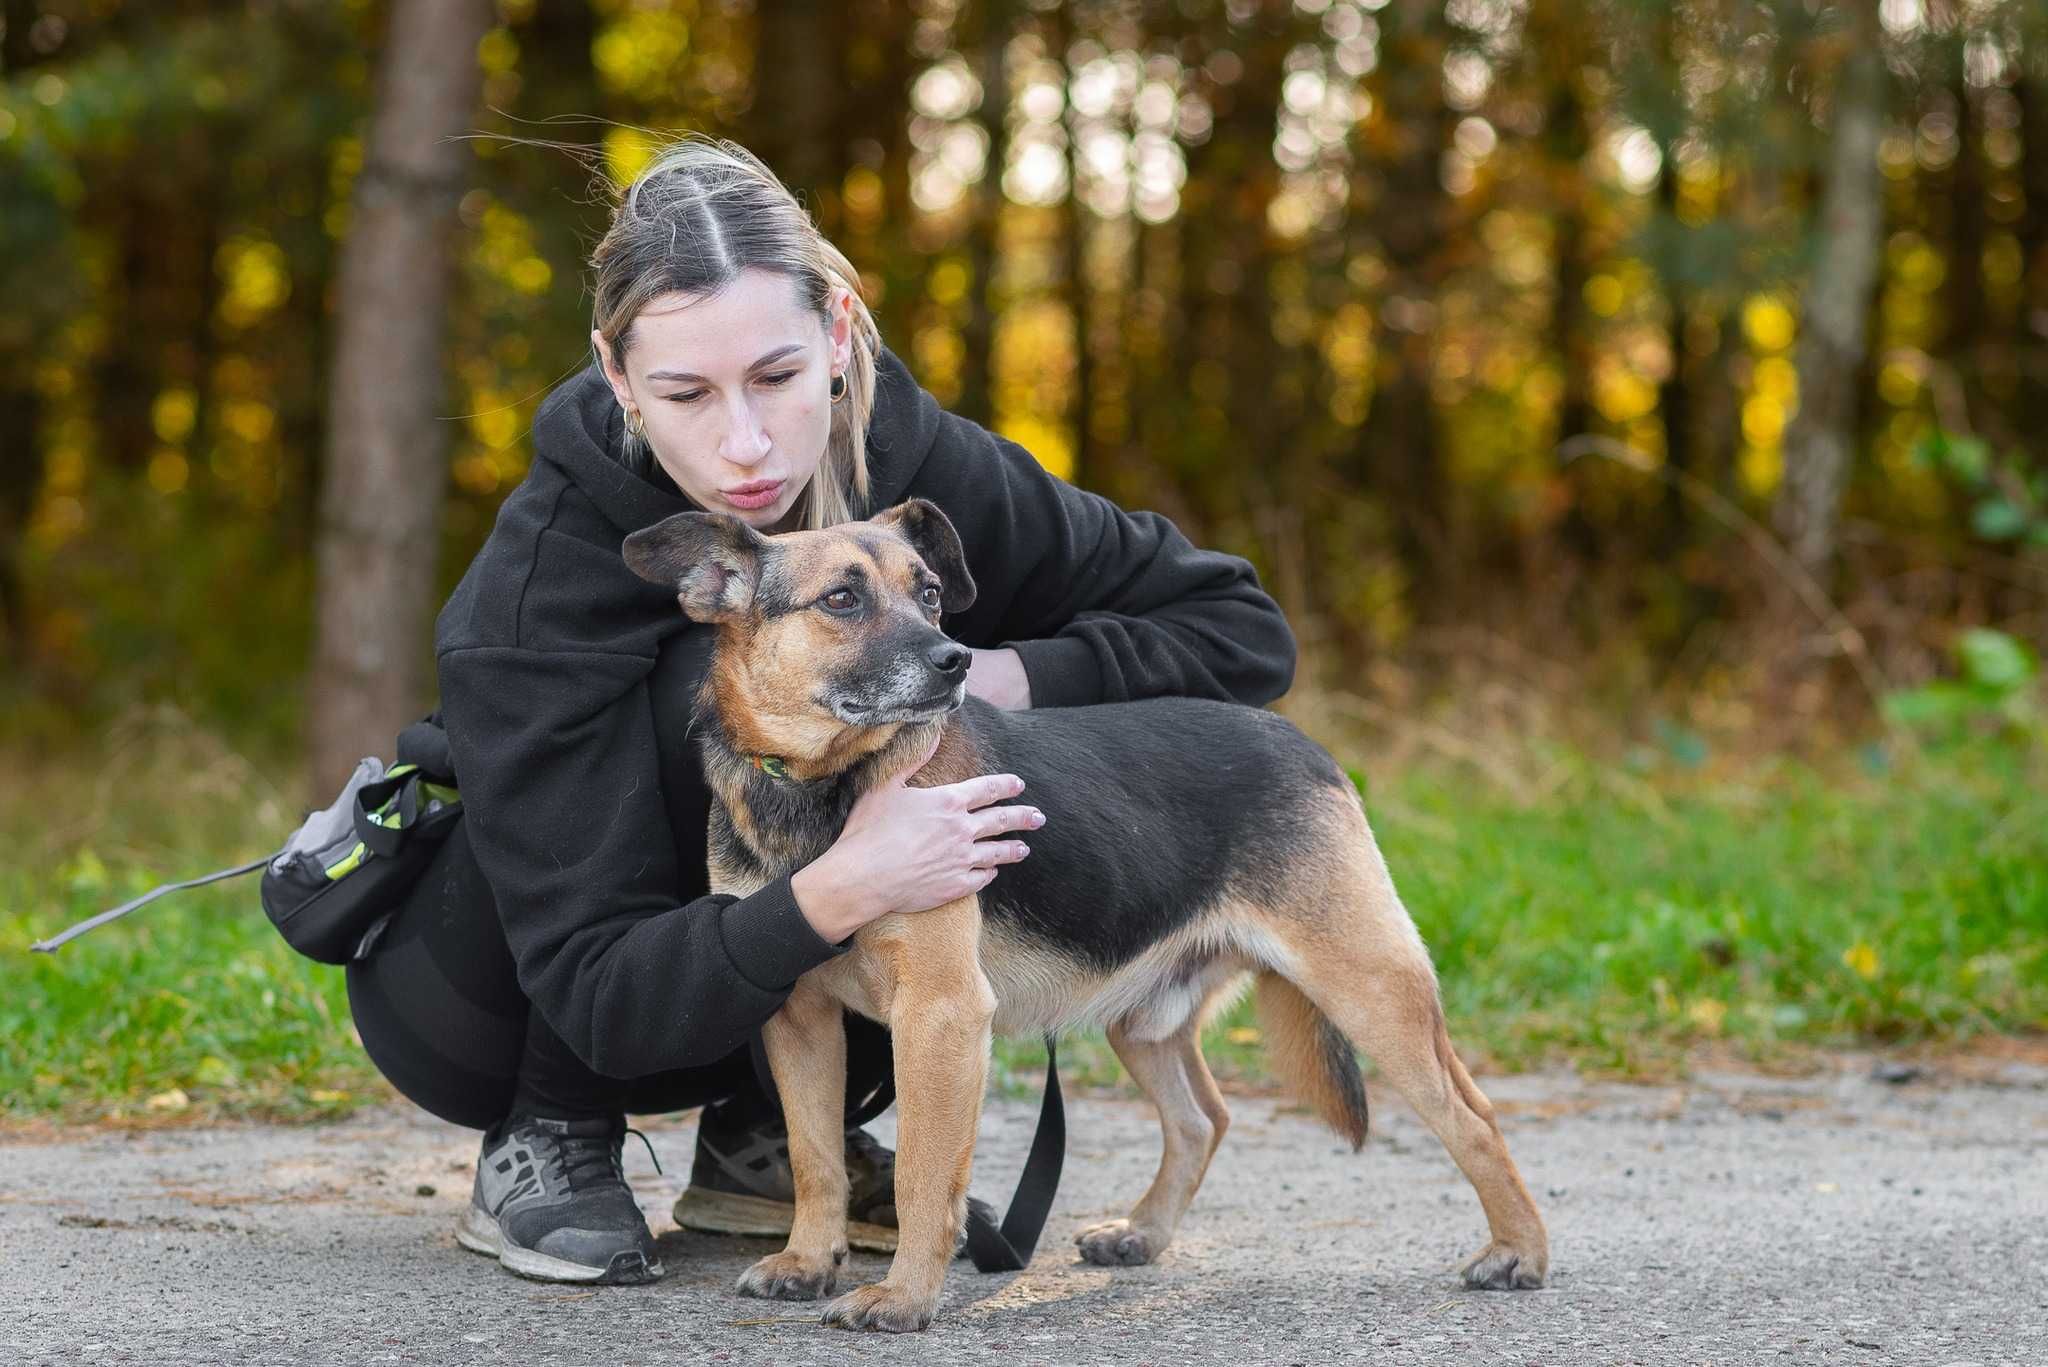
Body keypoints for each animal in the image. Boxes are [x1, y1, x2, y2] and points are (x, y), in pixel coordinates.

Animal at [622, 498, 1548, 1328]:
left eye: (930, 593)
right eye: (842, 598)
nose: (956, 660)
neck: (826, 787)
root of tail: (1304, 745)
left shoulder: (941, 1013)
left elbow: (924, 1174)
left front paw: (904, 1298)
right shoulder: (799, 1015)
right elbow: (815, 1160)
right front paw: (811, 1261)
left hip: (1368, 986)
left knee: (1474, 1115)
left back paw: (1519, 1252)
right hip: (1142, 1017)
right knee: (1203, 1116)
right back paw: (1143, 1232)